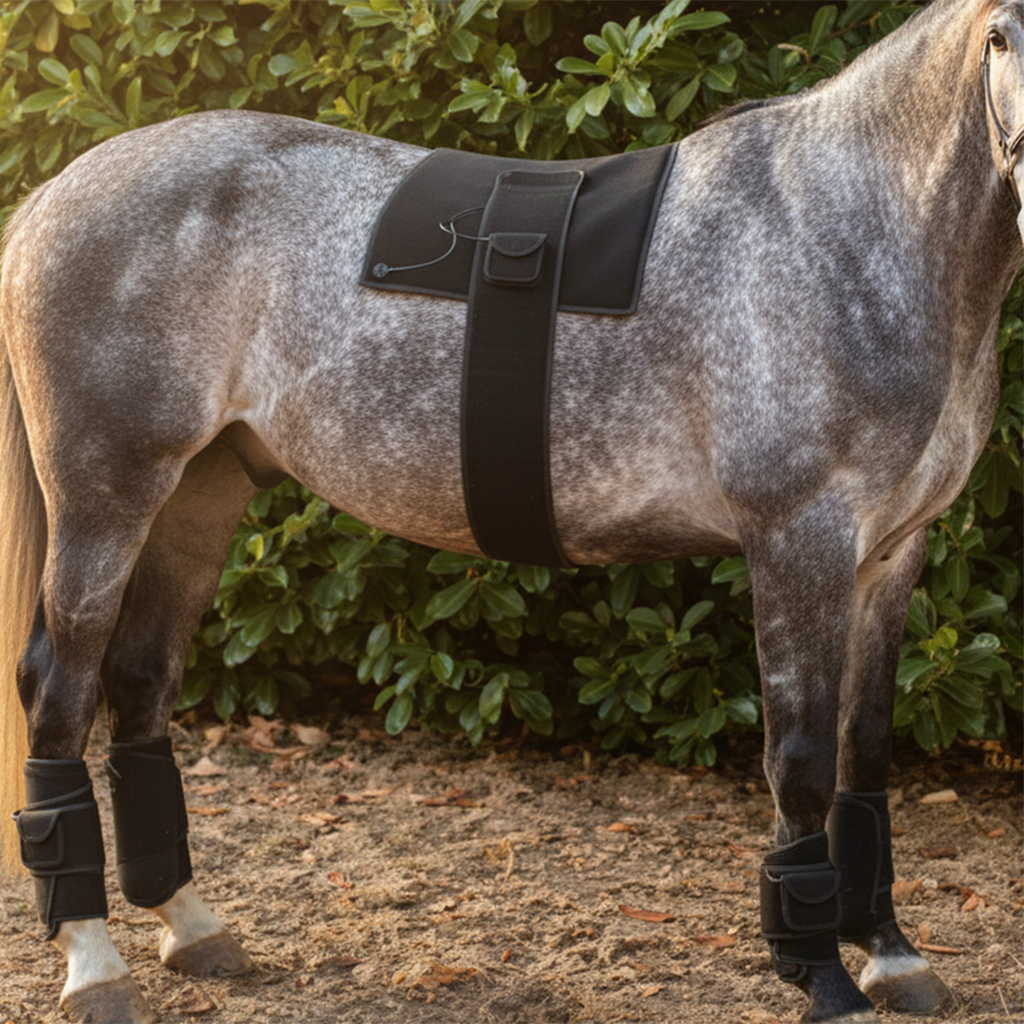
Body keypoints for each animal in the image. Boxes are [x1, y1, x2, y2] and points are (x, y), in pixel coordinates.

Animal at [1, 0, 1022, 1020]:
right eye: (1001, 37)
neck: (847, 231)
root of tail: (51, 196)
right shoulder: (797, 537)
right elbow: (802, 759)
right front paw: (823, 978)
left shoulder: (890, 552)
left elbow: (865, 751)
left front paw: (889, 953)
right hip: (105, 494)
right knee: (59, 692)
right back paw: (94, 963)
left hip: (198, 492)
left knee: (139, 682)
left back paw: (190, 925)